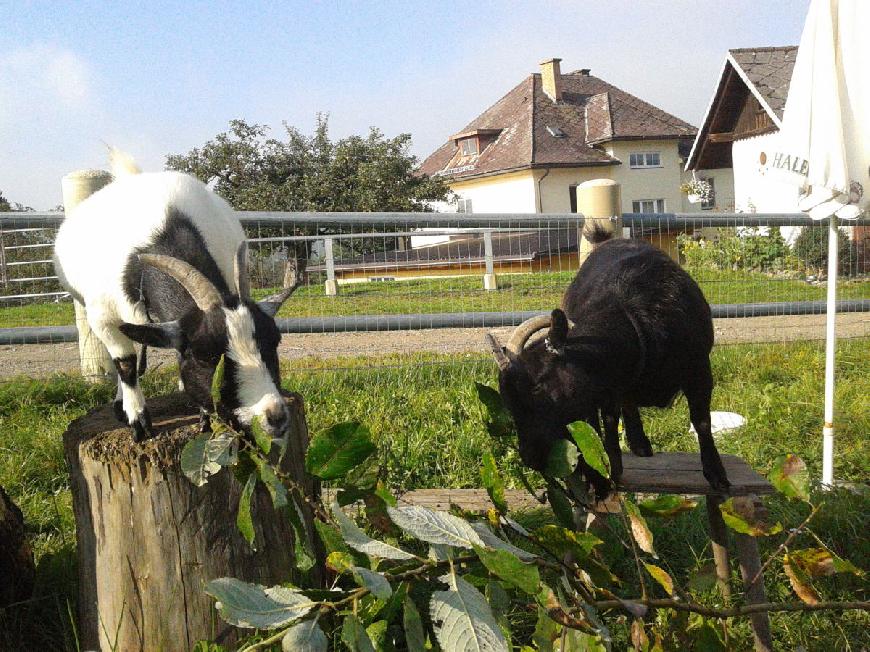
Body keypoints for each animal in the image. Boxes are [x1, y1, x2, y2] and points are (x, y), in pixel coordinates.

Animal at [57, 160, 300, 440]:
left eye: (275, 342)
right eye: (205, 356)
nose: (275, 418)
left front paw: (203, 414)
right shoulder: (103, 319)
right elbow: (126, 364)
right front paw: (137, 418)